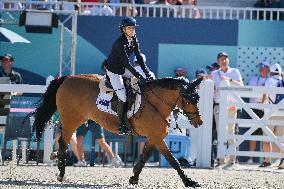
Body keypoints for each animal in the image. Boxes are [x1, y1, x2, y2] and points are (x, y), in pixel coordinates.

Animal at [31, 74, 202, 188]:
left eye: (198, 98)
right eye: (188, 100)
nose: (199, 122)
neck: (155, 103)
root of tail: (66, 78)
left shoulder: (153, 137)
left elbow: (144, 157)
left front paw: (134, 178)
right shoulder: (157, 138)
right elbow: (173, 161)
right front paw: (189, 182)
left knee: (63, 143)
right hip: (70, 121)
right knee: (63, 144)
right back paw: (61, 174)